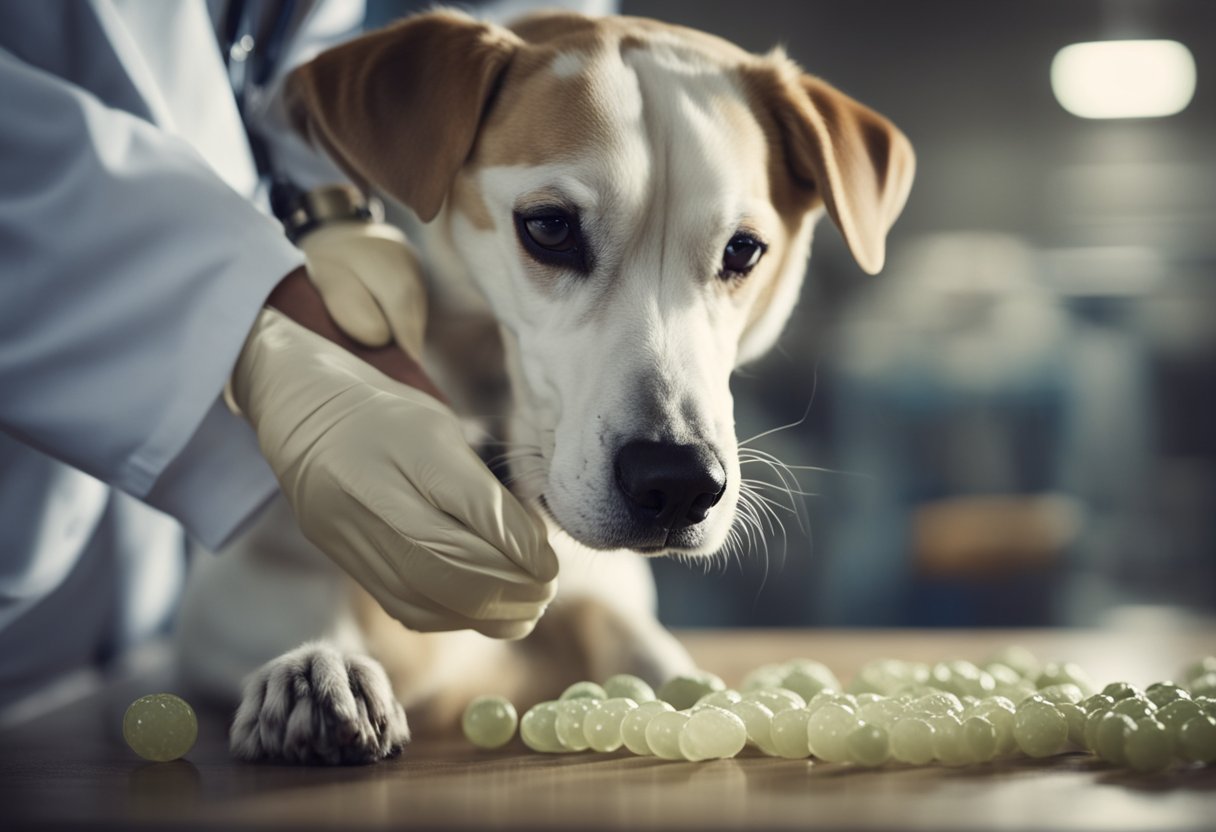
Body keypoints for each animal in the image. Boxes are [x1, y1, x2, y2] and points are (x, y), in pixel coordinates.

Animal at [171, 6, 914, 763]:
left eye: (743, 250)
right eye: (550, 229)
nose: (678, 483)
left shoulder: (601, 587)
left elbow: (635, 638)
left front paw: (698, 694)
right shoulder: (230, 591)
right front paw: (315, 666)